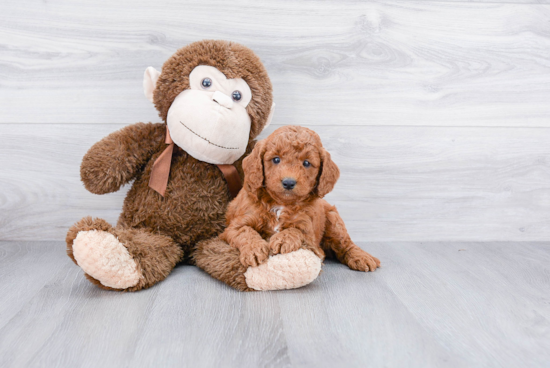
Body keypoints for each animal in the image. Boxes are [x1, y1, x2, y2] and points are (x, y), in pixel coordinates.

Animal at [219, 126, 380, 274]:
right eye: (276, 159)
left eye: (307, 163)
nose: (288, 182)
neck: (280, 204)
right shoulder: (235, 225)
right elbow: (245, 231)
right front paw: (255, 249)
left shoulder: (309, 231)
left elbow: (297, 230)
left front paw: (283, 239)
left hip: (334, 220)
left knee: (345, 243)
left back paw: (362, 257)